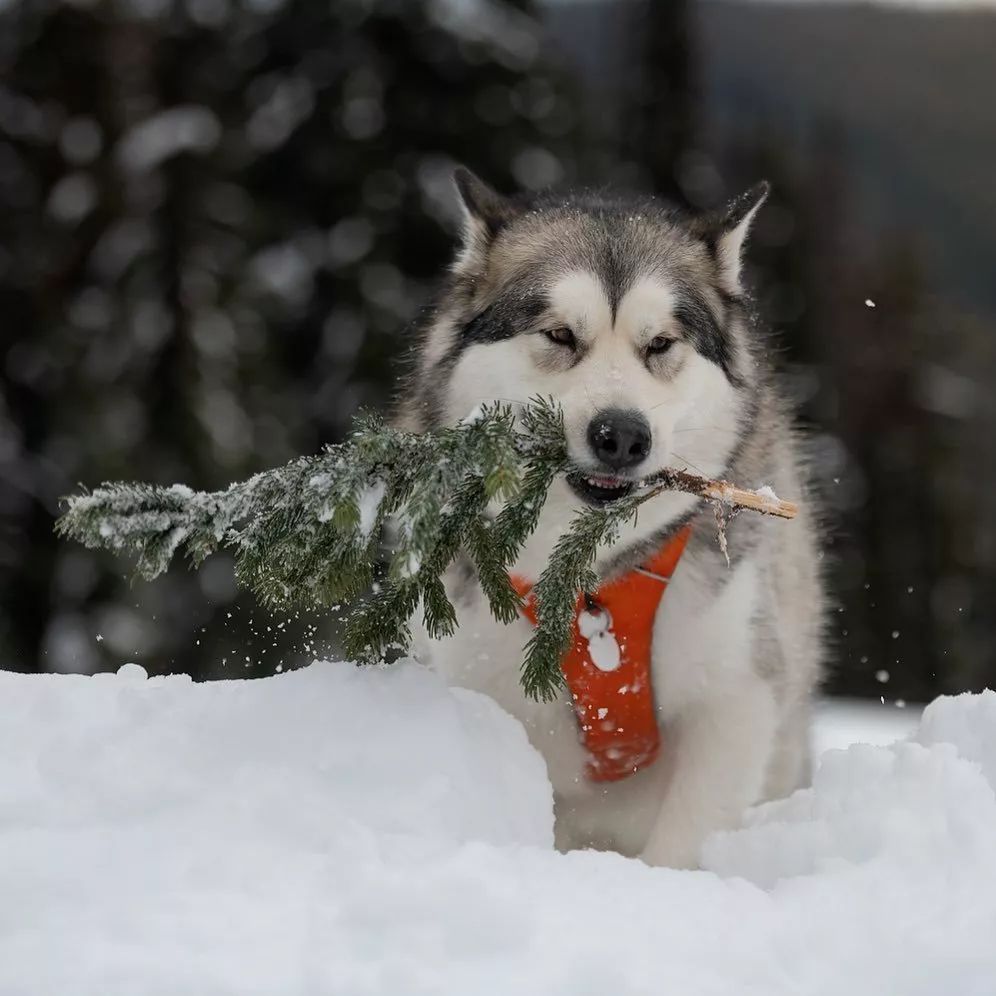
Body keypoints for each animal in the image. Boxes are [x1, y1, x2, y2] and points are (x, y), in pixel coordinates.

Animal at [396, 167, 824, 868]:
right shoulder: (485, 688)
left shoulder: (737, 693)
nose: (622, 435)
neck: (590, 577)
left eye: (661, 344)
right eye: (560, 335)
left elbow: (686, 835)